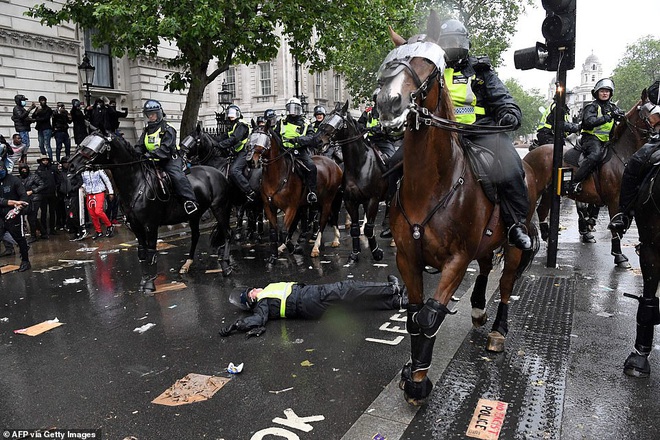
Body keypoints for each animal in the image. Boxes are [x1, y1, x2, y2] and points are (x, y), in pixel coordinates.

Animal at [68, 132, 233, 294]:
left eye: (96, 146)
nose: (70, 165)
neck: (136, 183)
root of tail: (219, 173)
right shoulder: (136, 226)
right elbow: (142, 252)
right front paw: (144, 281)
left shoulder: (150, 225)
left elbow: (151, 253)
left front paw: (149, 284)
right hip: (194, 215)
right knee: (196, 236)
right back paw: (187, 264)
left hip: (219, 208)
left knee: (227, 233)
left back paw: (226, 265)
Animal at [318, 101, 390, 262]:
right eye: (327, 117)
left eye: (337, 121)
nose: (319, 141)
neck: (359, 165)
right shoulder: (351, 201)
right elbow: (355, 228)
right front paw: (355, 254)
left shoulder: (373, 200)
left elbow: (369, 228)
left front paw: (376, 252)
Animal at [378, 11, 540, 410]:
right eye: (390, 62)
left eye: (429, 68)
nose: (388, 103)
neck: (432, 185)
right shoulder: (407, 257)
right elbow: (413, 316)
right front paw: (412, 372)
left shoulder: (456, 258)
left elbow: (430, 316)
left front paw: (419, 382)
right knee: (485, 268)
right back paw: (478, 307)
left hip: (512, 244)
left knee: (507, 282)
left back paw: (497, 330)